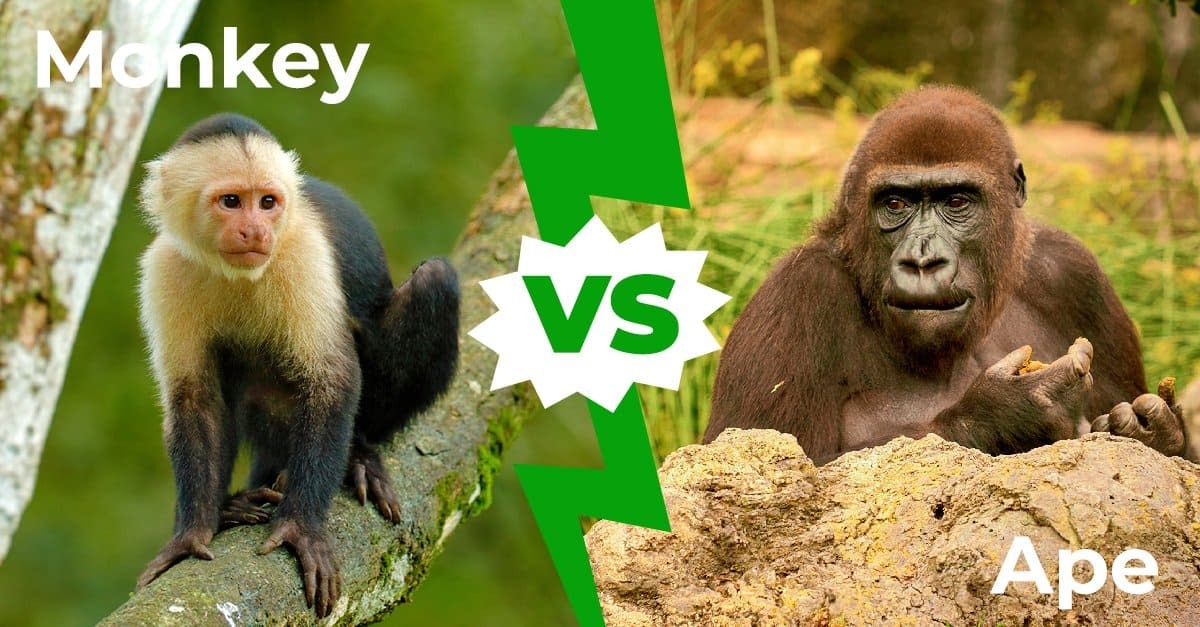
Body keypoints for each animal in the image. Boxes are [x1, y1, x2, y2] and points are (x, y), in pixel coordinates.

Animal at [133, 113, 460, 617]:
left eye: (267, 203)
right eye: (232, 201)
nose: (256, 231)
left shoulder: (302, 253)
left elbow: (332, 379)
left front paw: (301, 527)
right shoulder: (166, 268)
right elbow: (196, 399)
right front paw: (192, 533)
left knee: (433, 280)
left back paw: (359, 453)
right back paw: (235, 504)